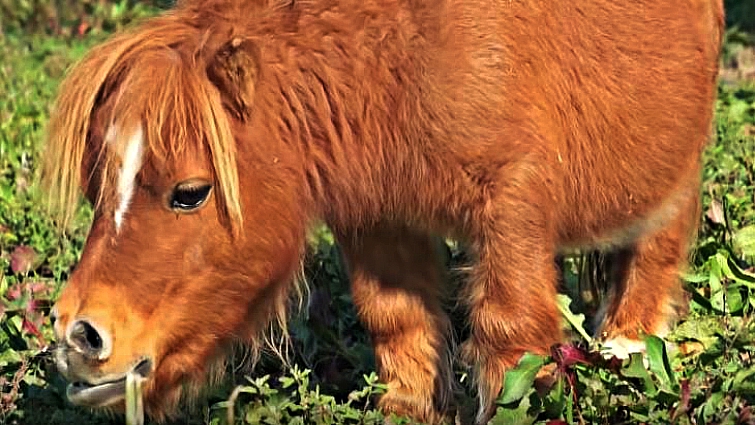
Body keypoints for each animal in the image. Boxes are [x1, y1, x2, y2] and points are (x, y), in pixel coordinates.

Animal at [43, 0, 724, 423]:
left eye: (189, 192)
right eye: (95, 189)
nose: (79, 337)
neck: (404, 49)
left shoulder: (510, 206)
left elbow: (510, 339)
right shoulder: (378, 222)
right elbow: (398, 322)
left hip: (673, 171)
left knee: (656, 254)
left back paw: (629, 351)